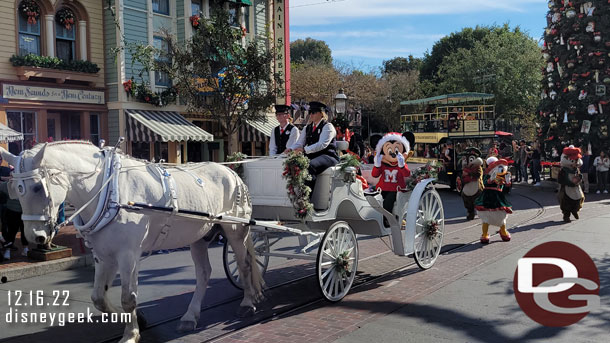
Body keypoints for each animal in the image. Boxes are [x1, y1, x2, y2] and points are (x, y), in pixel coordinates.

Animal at [0, 141, 262, 342]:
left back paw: (248, 303)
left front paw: (130, 334)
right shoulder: (104, 255)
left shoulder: (128, 253)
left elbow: (128, 298)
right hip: (198, 236)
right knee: (204, 273)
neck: (108, 191)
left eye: (37, 187)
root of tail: (233, 173)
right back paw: (190, 316)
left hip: (235, 230)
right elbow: (100, 298)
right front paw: (139, 321)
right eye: (15, 189)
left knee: (244, 264)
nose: (35, 237)